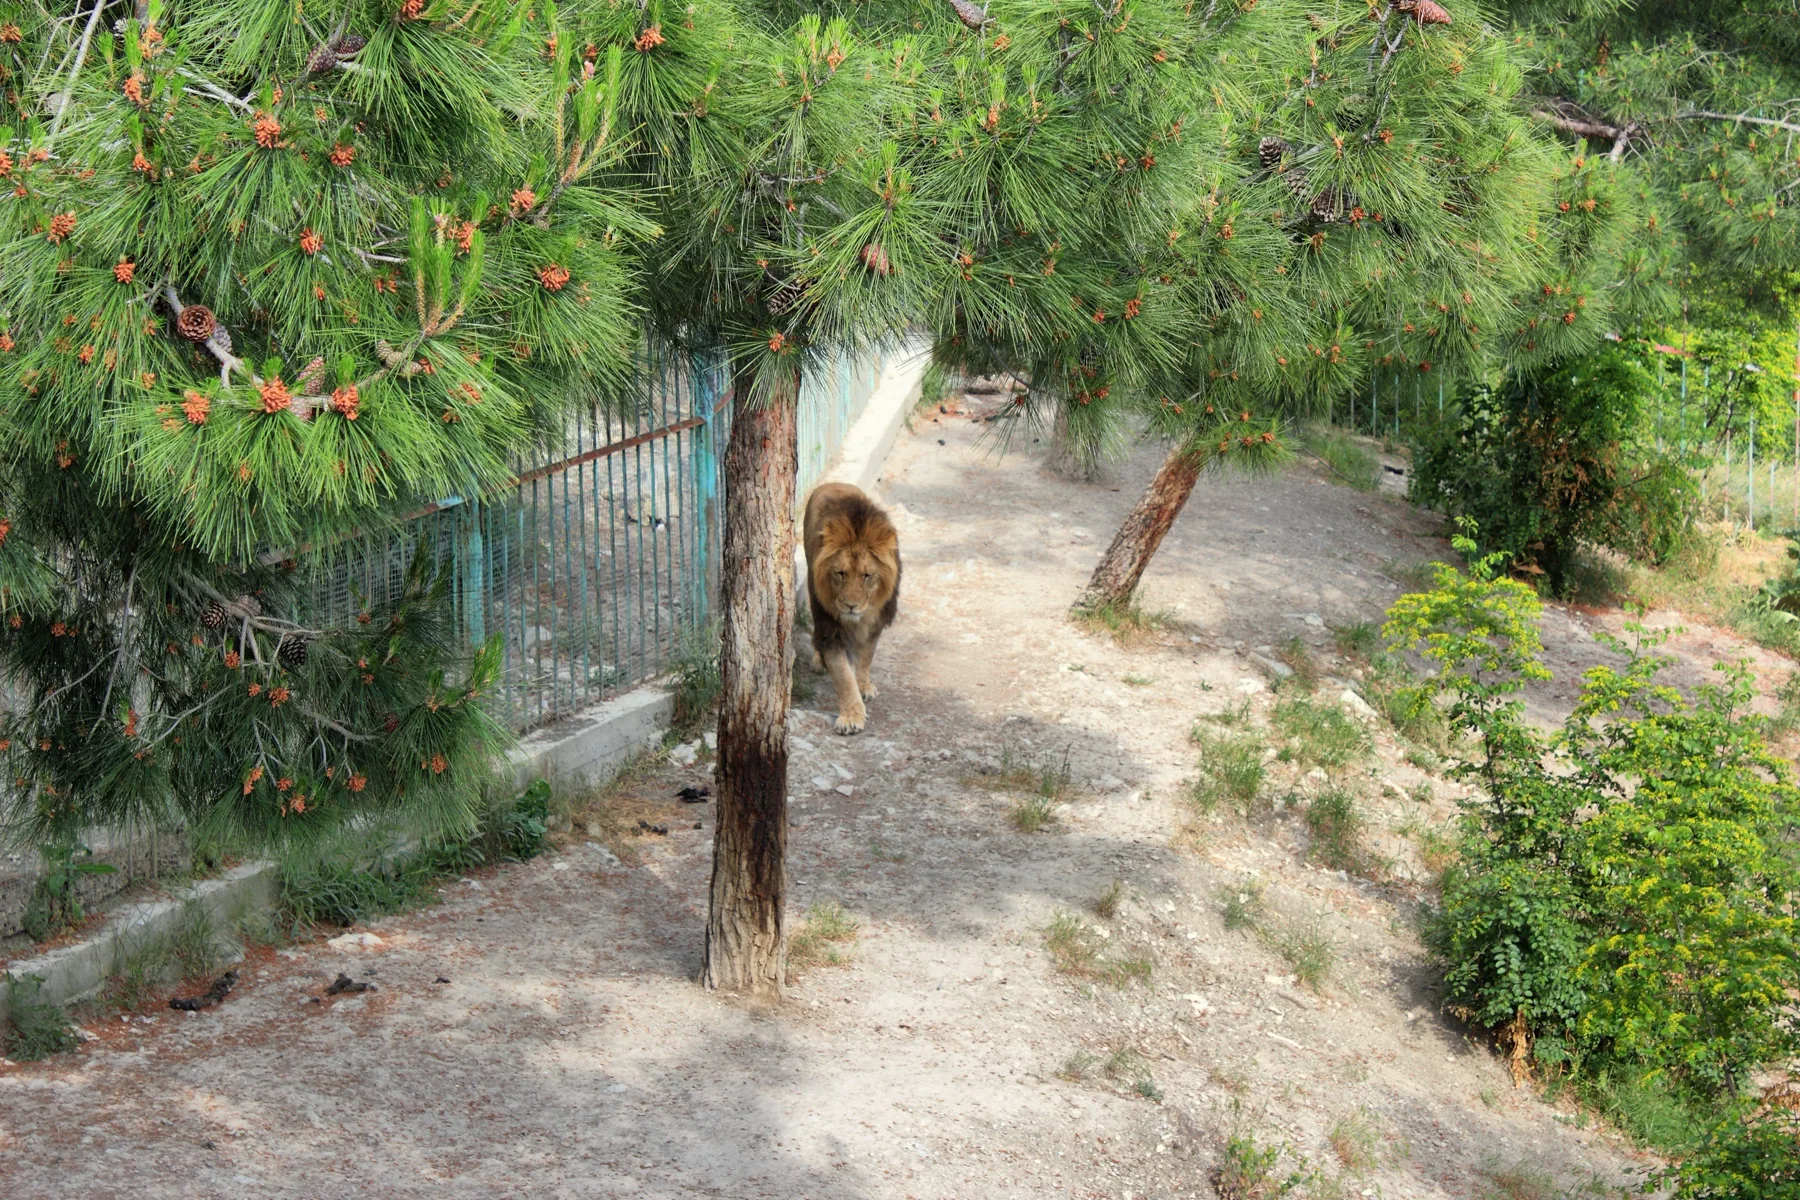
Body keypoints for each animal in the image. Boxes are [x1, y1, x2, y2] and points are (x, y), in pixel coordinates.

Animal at [803, 482, 901, 735]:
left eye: (867, 575)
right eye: (840, 573)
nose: (850, 605)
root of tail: (833, 482)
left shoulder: (876, 623)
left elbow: (866, 656)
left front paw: (863, 685)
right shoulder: (831, 630)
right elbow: (842, 676)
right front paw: (851, 716)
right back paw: (818, 661)